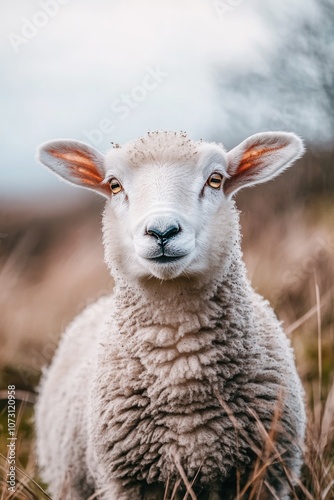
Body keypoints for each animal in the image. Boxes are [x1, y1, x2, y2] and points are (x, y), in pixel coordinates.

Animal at [36, 131, 306, 498]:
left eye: (215, 179)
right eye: (115, 185)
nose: (162, 231)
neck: (182, 363)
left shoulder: (268, 473)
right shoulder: (126, 484)